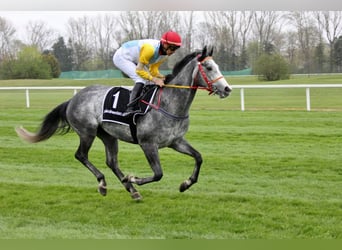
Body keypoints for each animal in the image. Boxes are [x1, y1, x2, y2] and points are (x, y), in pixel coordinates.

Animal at [17, 45, 234, 201]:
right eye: (208, 67)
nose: (227, 89)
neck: (168, 103)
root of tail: (73, 99)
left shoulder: (175, 141)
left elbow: (198, 157)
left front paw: (185, 184)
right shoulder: (148, 144)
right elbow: (158, 173)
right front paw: (134, 178)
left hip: (108, 135)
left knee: (112, 162)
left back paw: (131, 190)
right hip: (87, 132)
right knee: (81, 155)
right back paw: (104, 184)